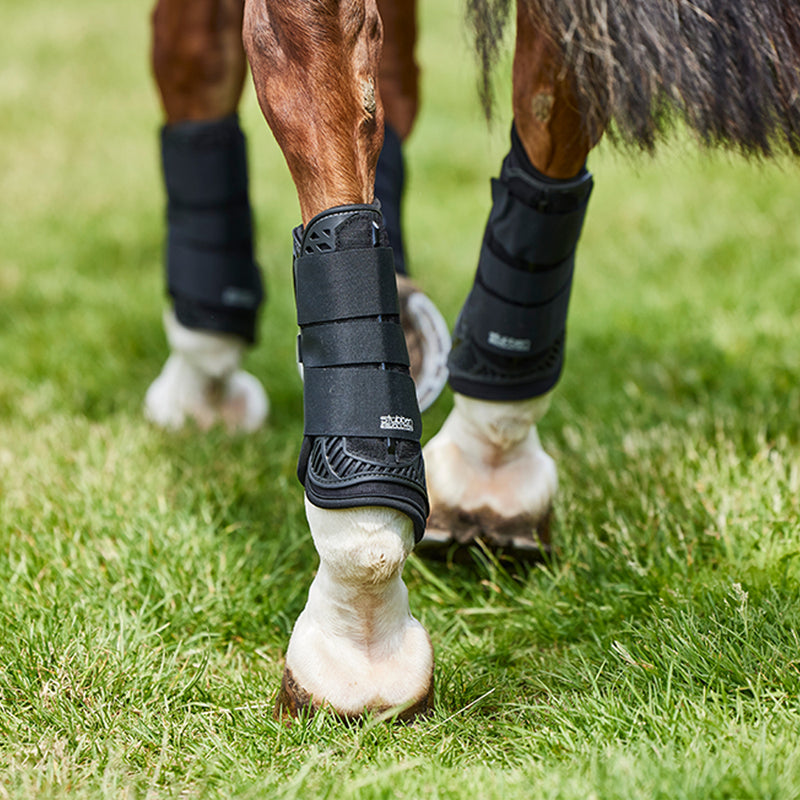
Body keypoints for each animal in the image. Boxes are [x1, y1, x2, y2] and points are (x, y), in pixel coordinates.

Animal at [142, 0, 800, 720]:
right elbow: (405, 81)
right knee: (546, 112)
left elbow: (193, 61)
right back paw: (489, 468)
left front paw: (203, 381)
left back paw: (358, 632)